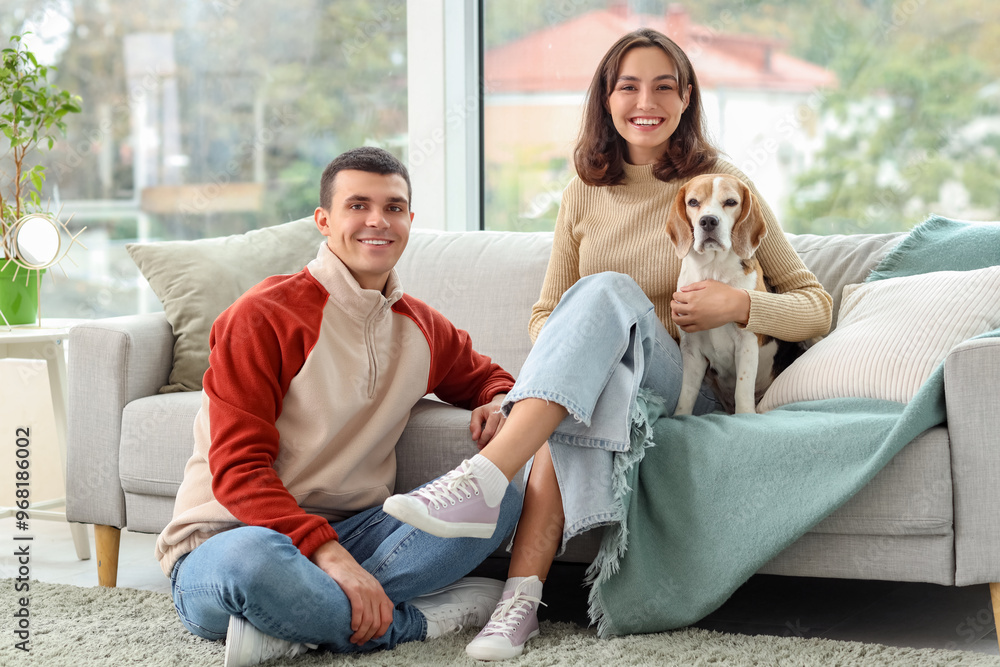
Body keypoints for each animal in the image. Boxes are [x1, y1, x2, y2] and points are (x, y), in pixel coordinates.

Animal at [668, 172, 808, 414]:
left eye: (731, 202)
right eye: (693, 202)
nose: (708, 221)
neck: (714, 270)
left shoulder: (747, 344)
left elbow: (743, 388)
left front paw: (745, 416)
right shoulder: (691, 349)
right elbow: (686, 394)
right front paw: (680, 417)